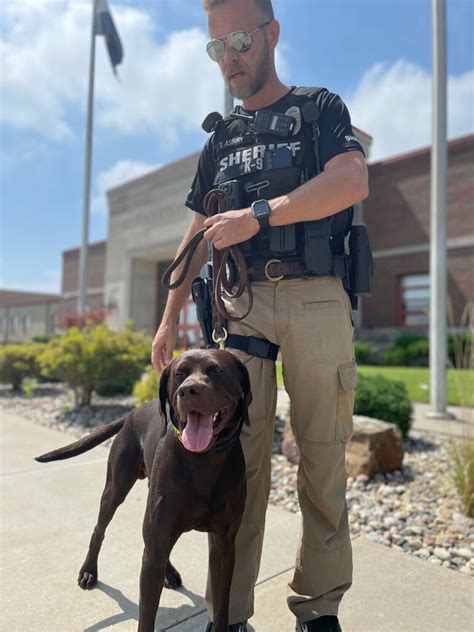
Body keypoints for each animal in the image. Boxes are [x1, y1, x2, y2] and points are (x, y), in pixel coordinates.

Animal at [35, 350, 252, 632]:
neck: (203, 460)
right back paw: (89, 571)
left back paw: (168, 573)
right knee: (99, 530)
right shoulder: (155, 549)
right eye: (179, 373)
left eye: (217, 370)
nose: (188, 390)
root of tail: (132, 412)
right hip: (116, 489)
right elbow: (147, 615)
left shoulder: (224, 545)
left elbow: (223, 605)